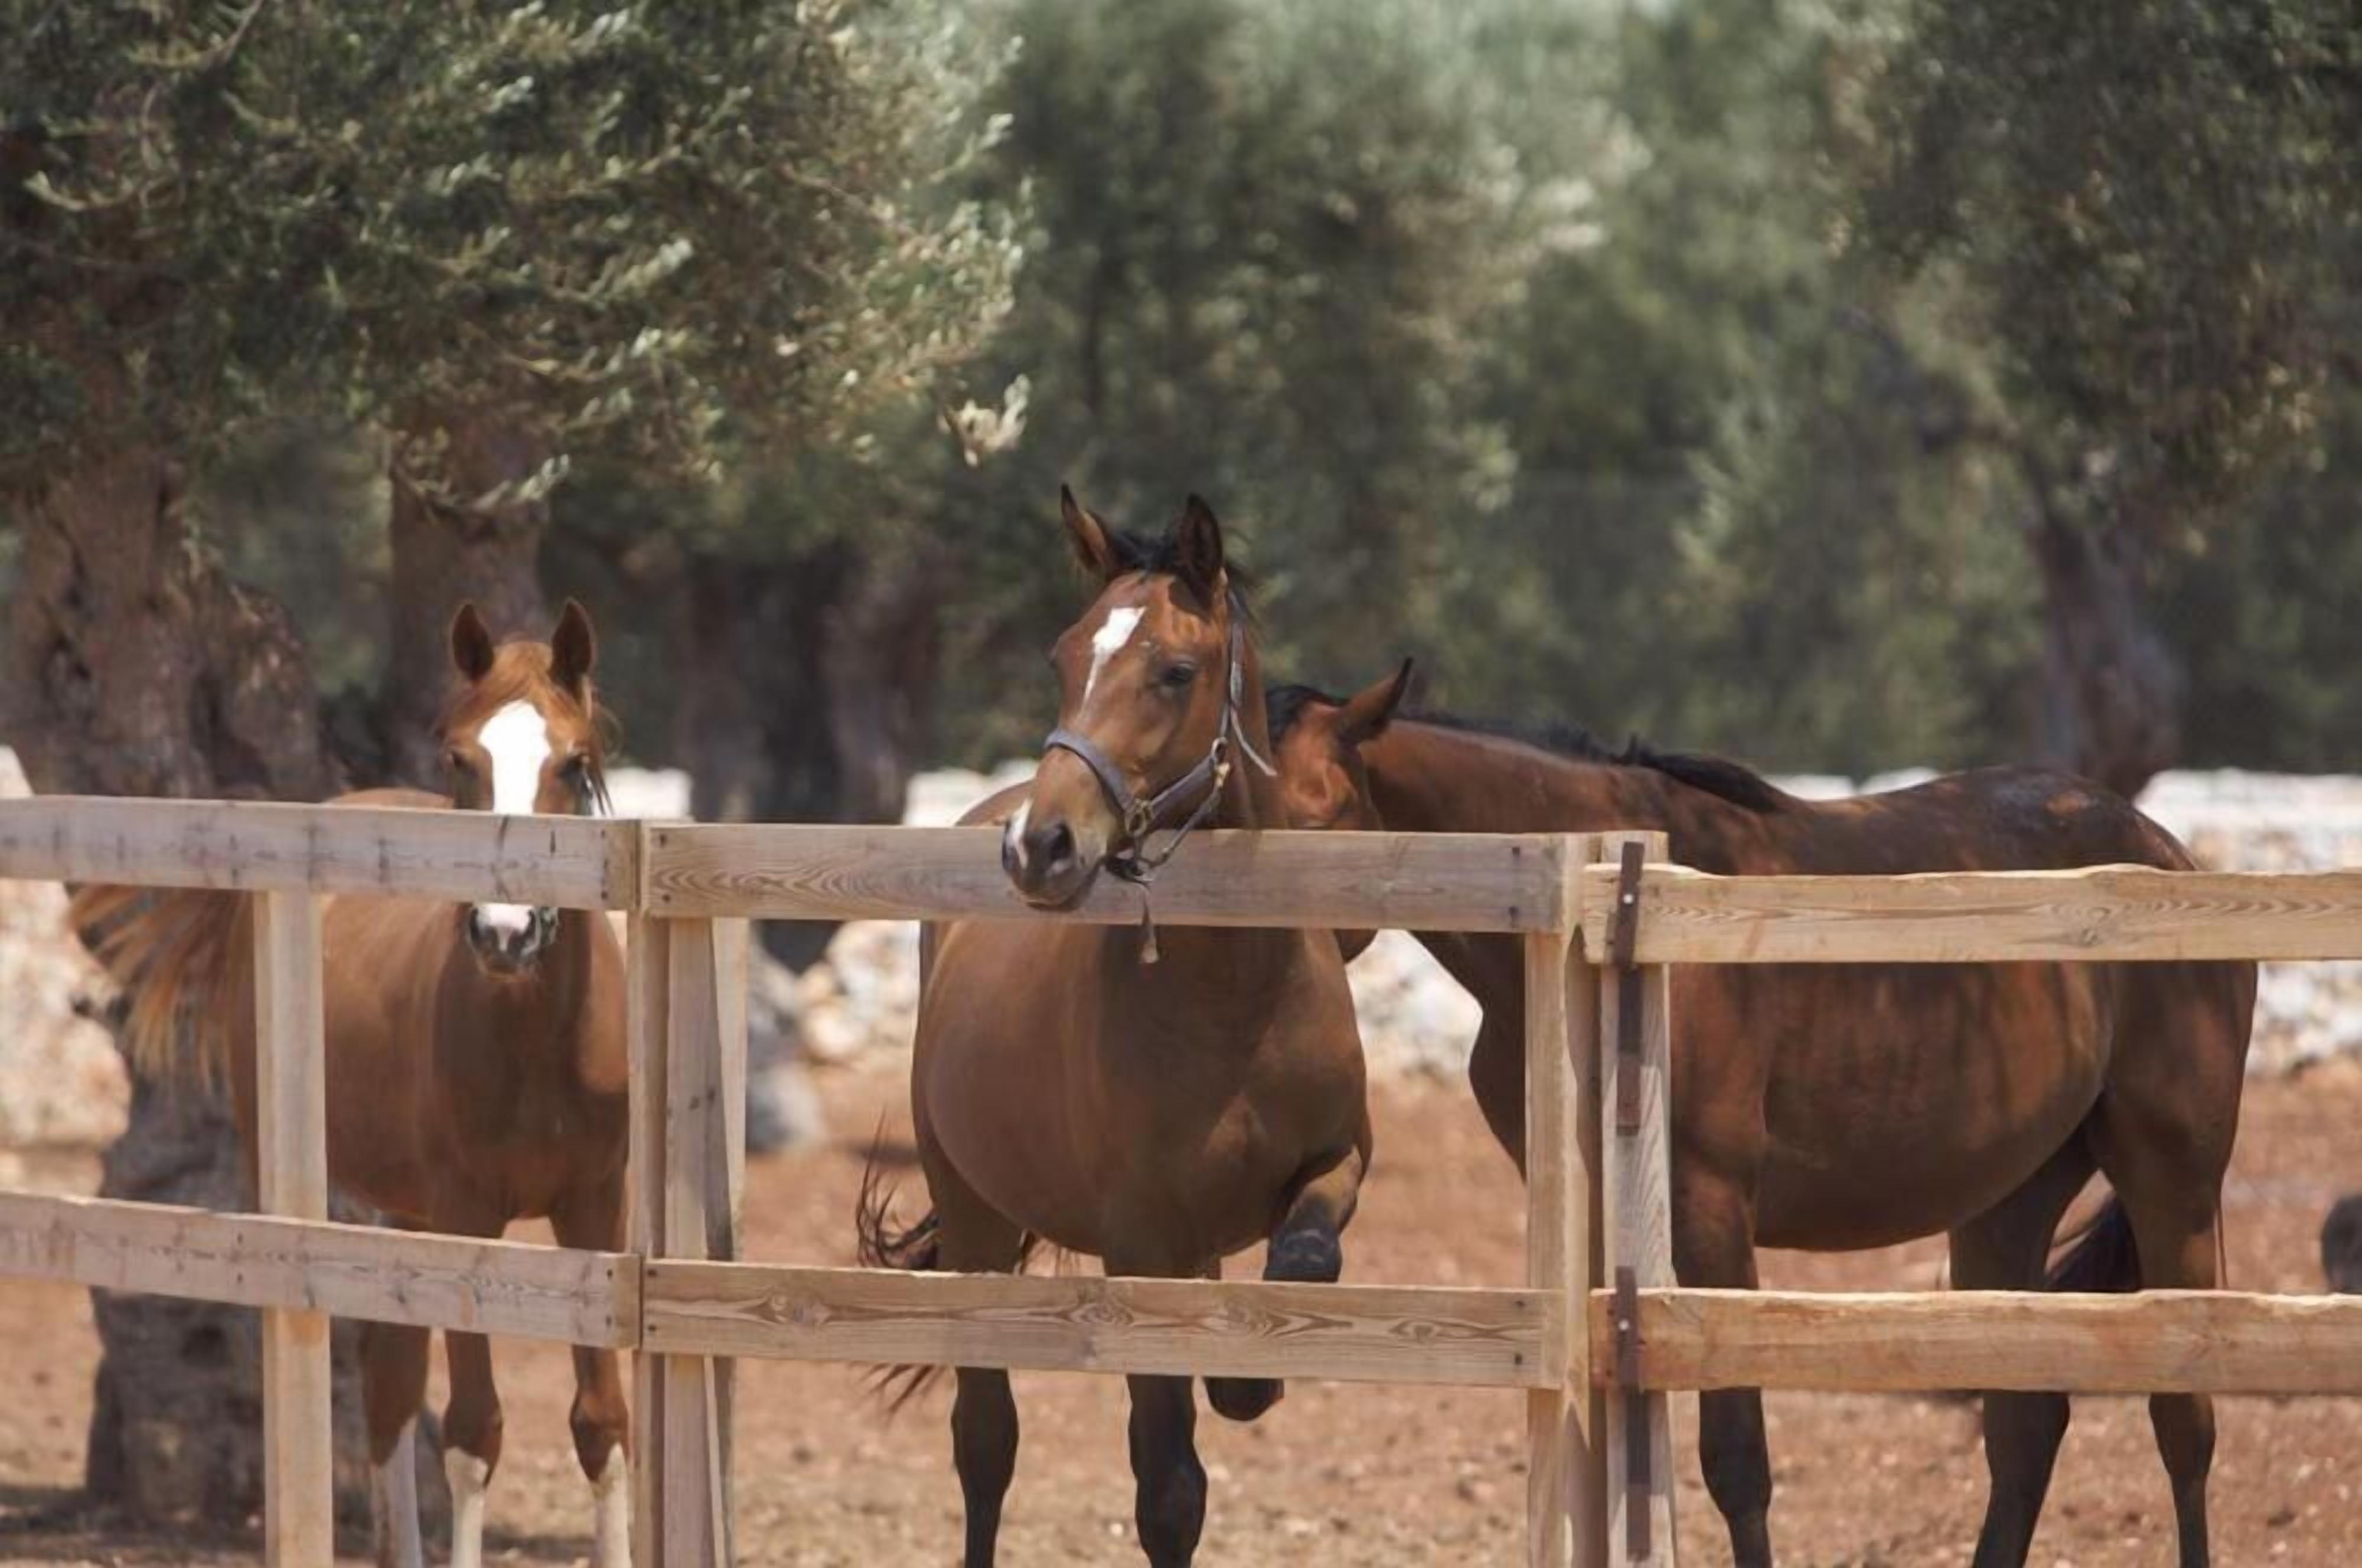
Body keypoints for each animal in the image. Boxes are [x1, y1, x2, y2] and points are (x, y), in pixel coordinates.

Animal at [73, 601, 631, 1568]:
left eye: (571, 763)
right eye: (459, 758)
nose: (506, 933)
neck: (536, 1038)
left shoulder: (594, 1205)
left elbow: (599, 1422)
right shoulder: (466, 1218)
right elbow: (474, 1432)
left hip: (405, 1213)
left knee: (388, 1379)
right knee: (371, 1379)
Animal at [857, 490, 1372, 1567]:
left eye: (1174, 671)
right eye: (1062, 657)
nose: (1041, 848)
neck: (1238, 995)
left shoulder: (1337, 1162)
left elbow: (1301, 1264)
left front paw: (1250, 1371)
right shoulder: (1140, 1242)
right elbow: (1168, 1487)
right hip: (976, 1221)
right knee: (985, 1442)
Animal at [1266, 667, 2255, 1568]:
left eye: (1317, 821)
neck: (1608, 919)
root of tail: (2167, 855)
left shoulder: (1711, 1214)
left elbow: (1736, 1461)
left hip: (2173, 1185)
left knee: (2185, 1420)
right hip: (2006, 1207)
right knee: (2025, 1430)